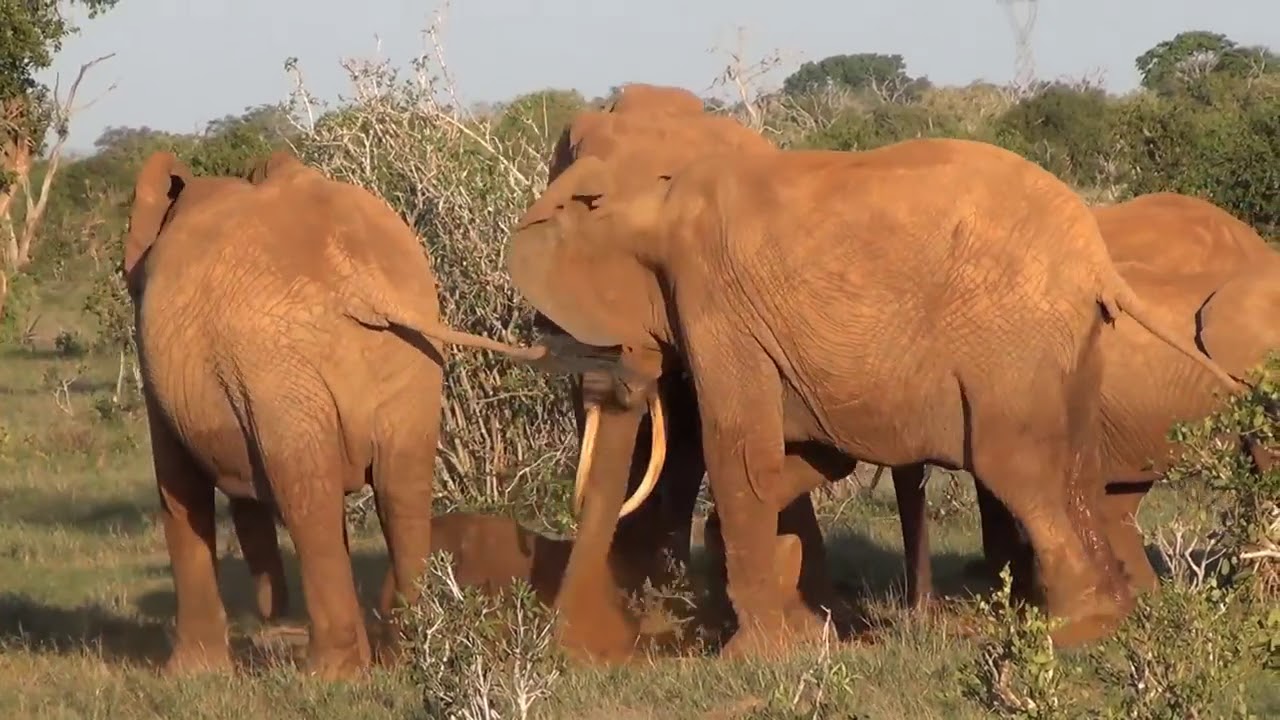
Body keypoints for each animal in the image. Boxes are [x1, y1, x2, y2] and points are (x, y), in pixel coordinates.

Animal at [123, 149, 575, 678]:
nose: (270, 610)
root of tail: (357, 284)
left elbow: (179, 491)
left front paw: (188, 675)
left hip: (280, 369)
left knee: (307, 501)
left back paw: (329, 676)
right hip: (409, 355)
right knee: (397, 491)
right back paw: (404, 656)